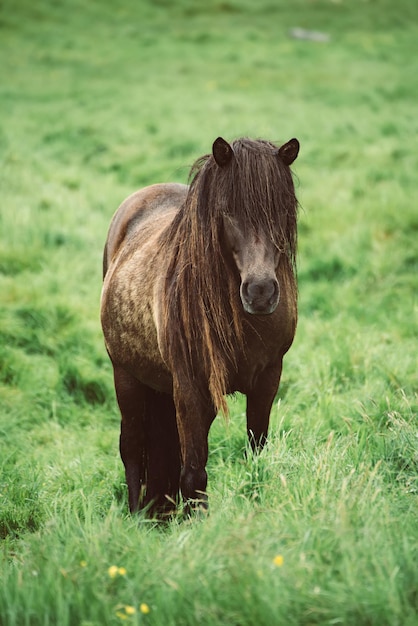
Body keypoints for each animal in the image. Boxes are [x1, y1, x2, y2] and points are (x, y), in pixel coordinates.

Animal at [101, 134, 300, 516]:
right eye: (227, 211)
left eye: (282, 209)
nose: (261, 291)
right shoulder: (191, 389)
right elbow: (194, 474)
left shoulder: (268, 379)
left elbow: (256, 456)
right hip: (126, 375)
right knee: (132, 448)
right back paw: (136, 517)